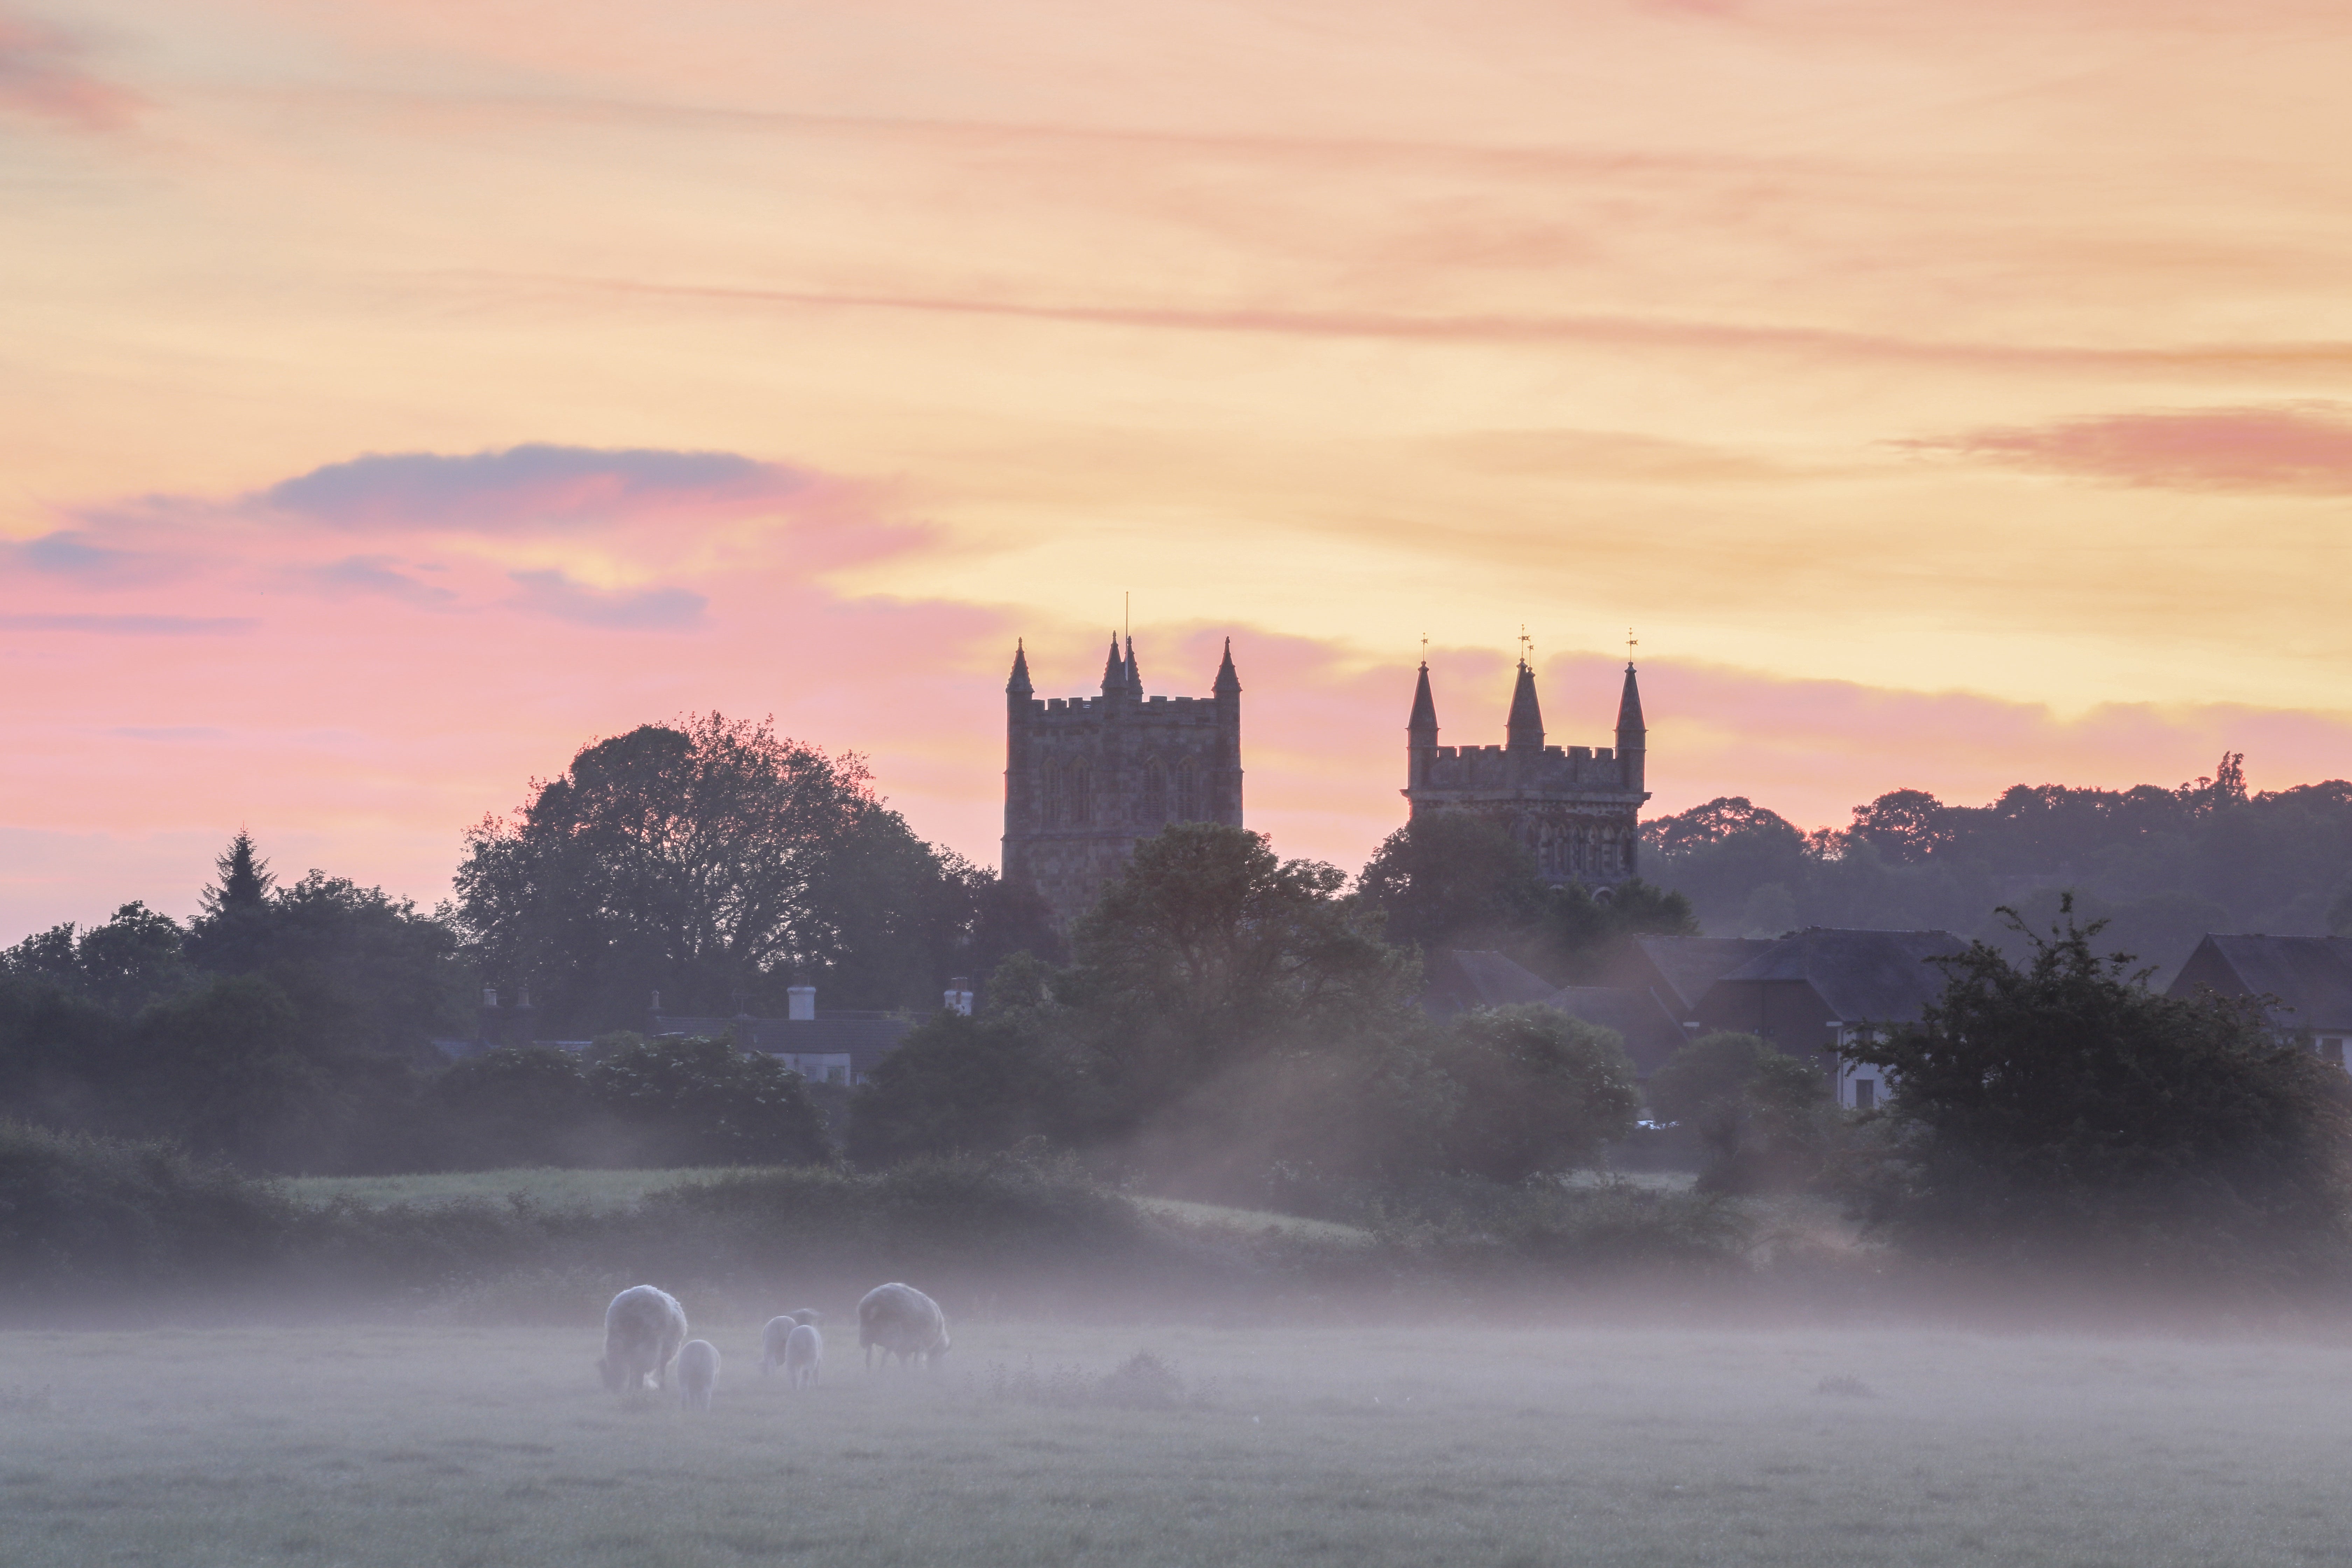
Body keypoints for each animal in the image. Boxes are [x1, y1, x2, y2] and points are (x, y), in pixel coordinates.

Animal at [672, 1344, 715, 1420]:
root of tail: (697, 1351)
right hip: (708, 1375)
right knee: (706, 1394)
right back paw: (704, 1410)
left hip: (684, 1373)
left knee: (685, 1393)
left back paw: (686, 1409)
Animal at [785, 1316, 823, 1392]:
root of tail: (801, 1339)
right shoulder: (818, 1359)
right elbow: (817, 1371)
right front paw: (817, 1385)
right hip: (811, 1354)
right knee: (807, 1371)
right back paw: (804, 1387)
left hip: (791, 1354)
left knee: (793, 1372)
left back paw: (795, 1388)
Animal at [861, 1288, 950, 1373]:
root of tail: (874, 1302)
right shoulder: (921, 1346)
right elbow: (916, 1361)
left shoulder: (903, 1350)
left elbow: (903, 1362)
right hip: (892, 1337)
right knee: (884, 1358)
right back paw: (880, 1372)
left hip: (867, 1336)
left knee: (868, 1358)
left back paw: (869, 1372)